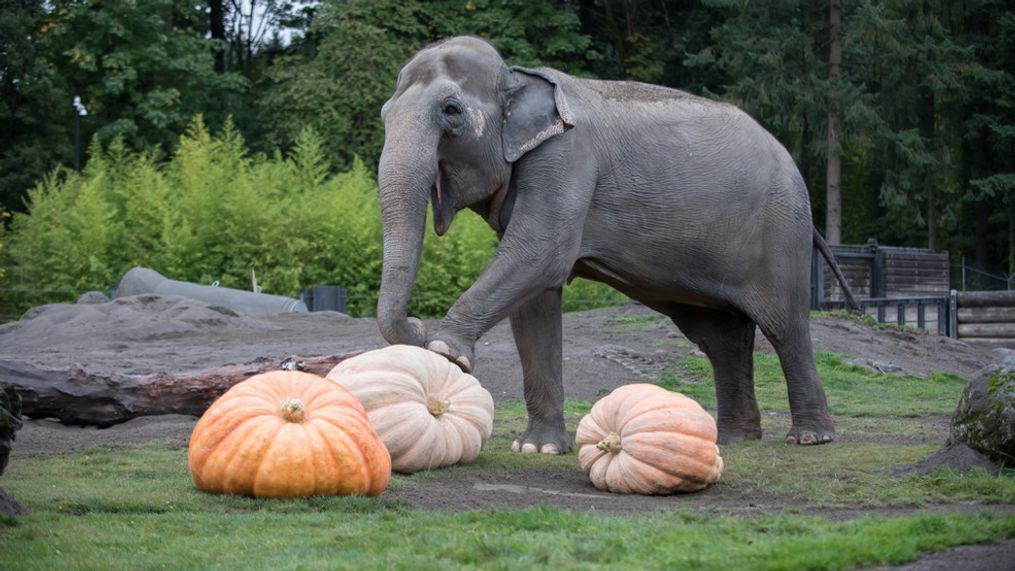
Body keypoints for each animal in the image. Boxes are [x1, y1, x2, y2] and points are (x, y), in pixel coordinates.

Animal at [377, 36, 860, 456]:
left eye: (451, 110)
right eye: (384, 113)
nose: (416, 325)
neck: (517, 76)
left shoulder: (566, 158)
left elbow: (538, 256)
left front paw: (445, 351)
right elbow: (534, 298)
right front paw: (538, 448)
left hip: (782, 230)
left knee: (784, 326)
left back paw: (809, 438)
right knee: (721, 337)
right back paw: (736, 439)